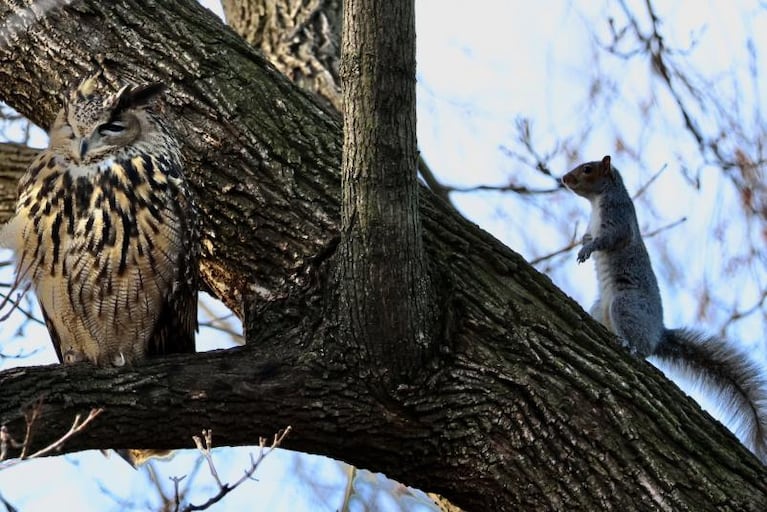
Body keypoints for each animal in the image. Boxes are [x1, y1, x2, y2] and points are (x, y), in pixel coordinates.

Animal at [560, 154, 767, 462]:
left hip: (625, 305)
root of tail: (658, 333)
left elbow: (609, 239)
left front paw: (589, 248)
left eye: (588, 169)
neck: (598, 201)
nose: (564, 178)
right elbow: (588, 236)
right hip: (602, 308)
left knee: (642, 348)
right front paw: (583, 243)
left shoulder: (618, 219)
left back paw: (631, 346)